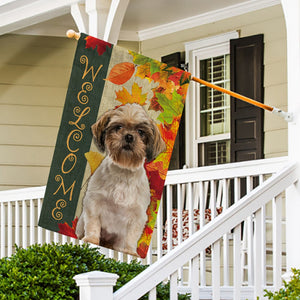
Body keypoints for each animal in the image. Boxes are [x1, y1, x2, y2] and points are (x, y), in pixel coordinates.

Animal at [76, 103, 166, 255]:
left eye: (141, 132)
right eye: (118, 127)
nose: (129, 136)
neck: (123, 171)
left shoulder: (137, 216)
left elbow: (131, 236)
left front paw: (129, 251)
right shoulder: (94, 202)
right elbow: (93, 223)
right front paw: (92, 239)